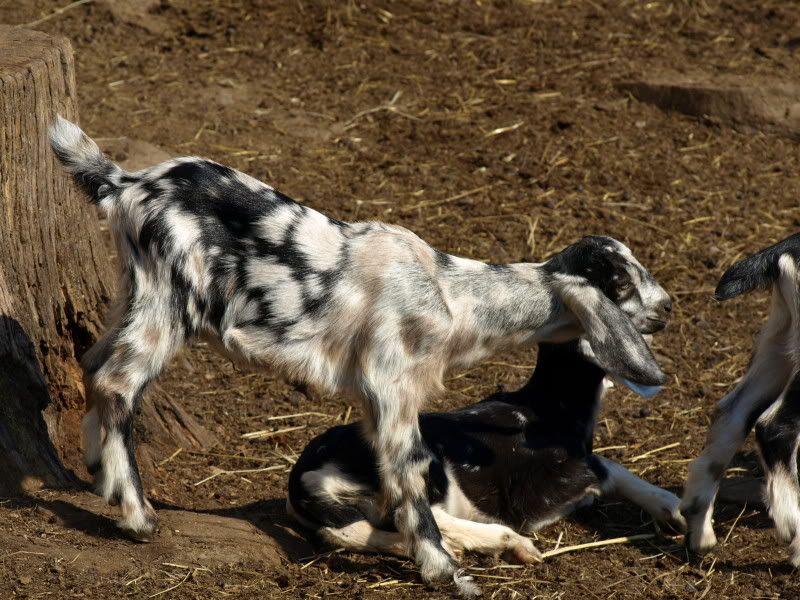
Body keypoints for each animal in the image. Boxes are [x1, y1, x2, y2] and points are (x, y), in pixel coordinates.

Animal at [287, 278, 683, 568]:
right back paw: (506, 542)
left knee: (349, 531)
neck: (548, 409)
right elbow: (605, 467)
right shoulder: (538, 491)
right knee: (412, 512)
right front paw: (675, 511)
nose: (665, 315)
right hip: (419, 466)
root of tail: (304, 475)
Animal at [681, 233, 800, 565]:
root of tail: (786, 248)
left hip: (779, 340)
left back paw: (700, 530)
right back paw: (794, 534)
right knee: (773, 426)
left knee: (730, 414)